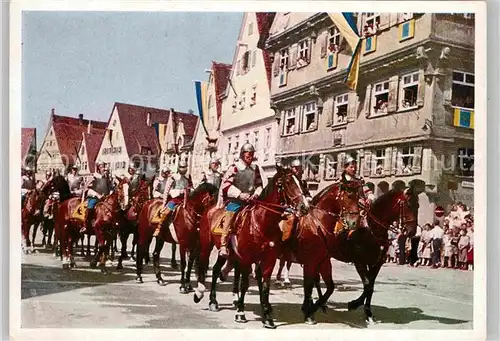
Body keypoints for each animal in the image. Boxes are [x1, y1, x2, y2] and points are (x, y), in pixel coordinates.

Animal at [193, 166, 310, 328]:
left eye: (301, 182)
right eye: (286, 183)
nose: (305, 207)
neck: (263, 221)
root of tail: (210, 209)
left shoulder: (268, 260)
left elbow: (265, 286)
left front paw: (267, 317)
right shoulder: (246, 259)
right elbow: (245, 284)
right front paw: (240, 313)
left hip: (227, 253)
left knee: (216, 270)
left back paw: (213, 301)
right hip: (206, 246)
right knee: (203, 265)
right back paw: (199, 293)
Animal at [292, 183, 422, 324]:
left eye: (418, 205)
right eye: (408, 204)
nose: (412, 232)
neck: (372, 230)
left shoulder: (377, 264)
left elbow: (370, 287)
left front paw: (368, 312)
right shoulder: (359, 263)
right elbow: (367, 285)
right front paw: (354, 304)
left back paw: (320, 305)